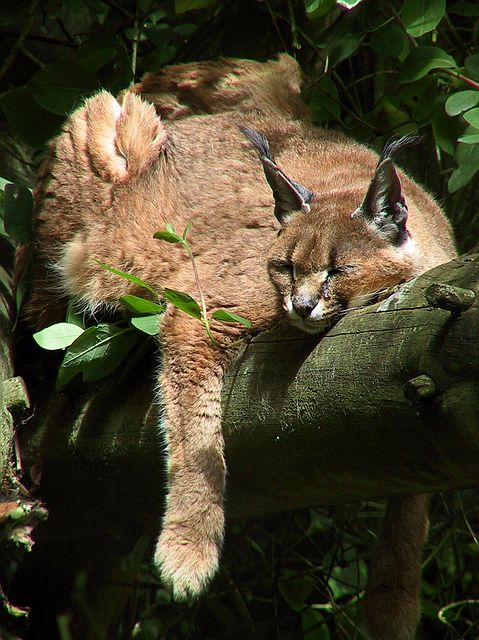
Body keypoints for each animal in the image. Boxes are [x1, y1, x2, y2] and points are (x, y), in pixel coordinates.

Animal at [25, 56, 458, 640]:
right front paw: (188, 550)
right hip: (101, 135)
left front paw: (393, 603)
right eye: (284, 267)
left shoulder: (419, 344)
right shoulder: (200, 313)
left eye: (337, 270)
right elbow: (196, 436)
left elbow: (416, 486)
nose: (300, 306)